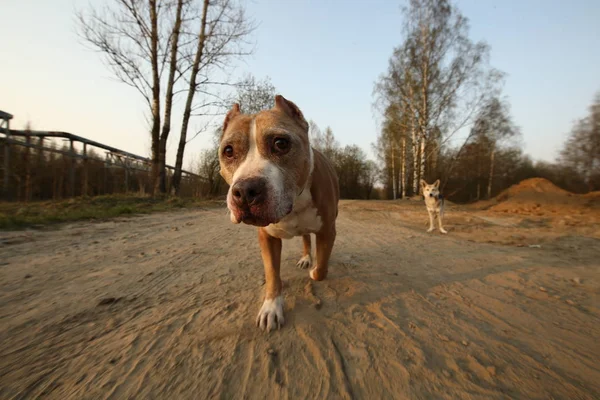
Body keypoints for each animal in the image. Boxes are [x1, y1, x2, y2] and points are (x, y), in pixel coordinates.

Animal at [217, 94, 340, 332]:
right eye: (228, 151)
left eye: (280, 143)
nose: (245, 191)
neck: (294, 203)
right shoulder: (267, 237)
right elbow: (273, 273)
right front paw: (271, 308)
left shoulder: (328, 230)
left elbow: (321, 269)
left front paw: (314, 271)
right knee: (304, 238)